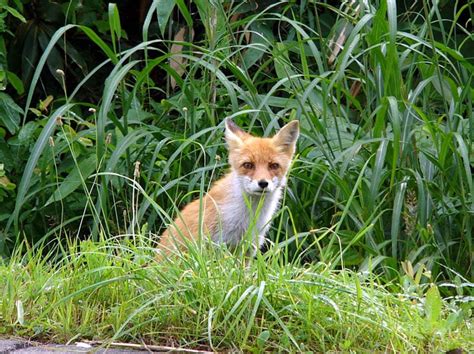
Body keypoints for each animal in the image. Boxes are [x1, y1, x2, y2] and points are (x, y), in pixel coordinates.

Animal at [159, 119, 300, 258]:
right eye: (248, 165)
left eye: (274, 165)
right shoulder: (215, 246)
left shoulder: (248, 248)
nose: (263, 183)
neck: (248, 217)